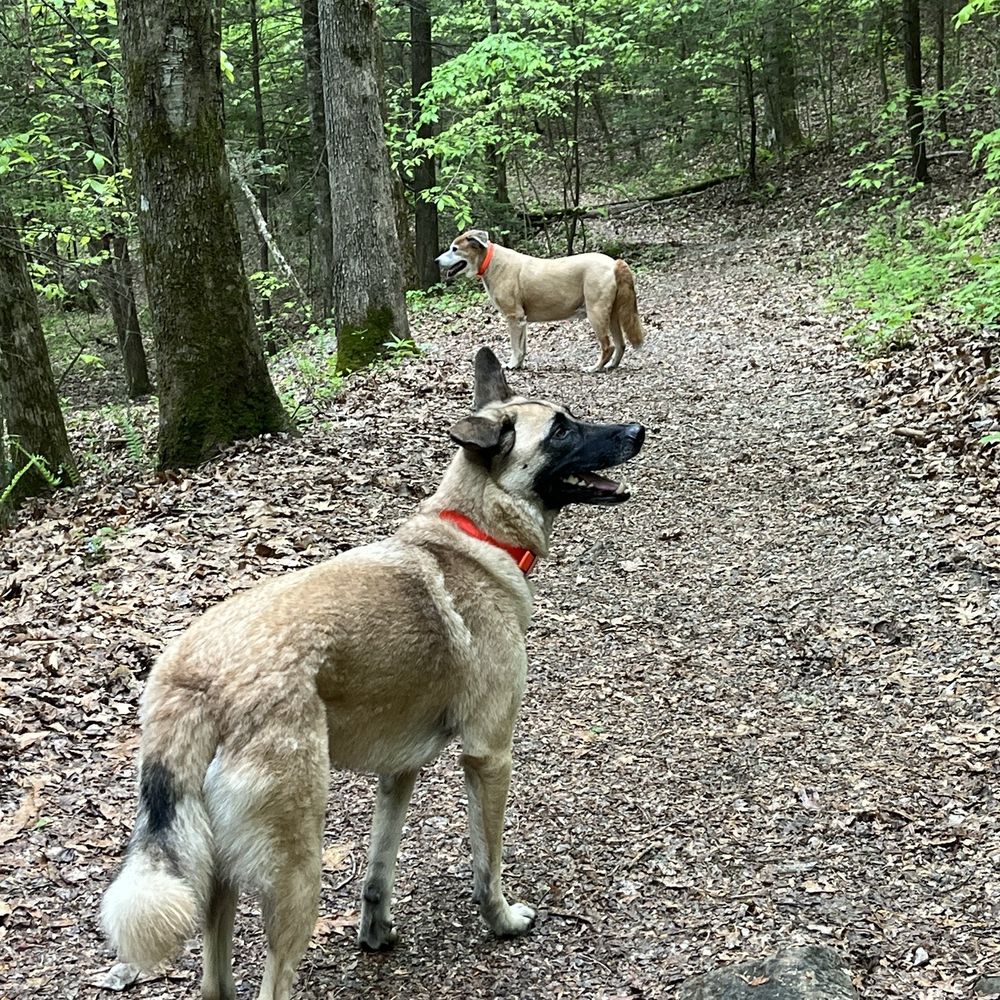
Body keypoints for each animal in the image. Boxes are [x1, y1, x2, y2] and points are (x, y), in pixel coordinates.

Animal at [100, 347, 645, 1000]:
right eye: (561, 430)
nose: (637, 431)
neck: (473, 535)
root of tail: (193, 677)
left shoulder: (399, 772)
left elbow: (378, 869)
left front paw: (375, 933)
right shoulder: (489, 755)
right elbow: (487, 862)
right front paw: (503, 921)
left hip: (216, 876)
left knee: (216, 979)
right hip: (296, 869)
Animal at [435, 230, 646, 373]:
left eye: (454, 249)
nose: (436, 260)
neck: (489, 261)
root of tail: (614, 262)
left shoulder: (513, 316)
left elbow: (515, 346)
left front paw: (511, 364)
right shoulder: (522, 319)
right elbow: (522, 347)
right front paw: (518, 364)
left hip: (596, 311)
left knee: (608, 345)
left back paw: (595, 368)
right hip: (613, 313)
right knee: (621, 344)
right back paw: (612, 365)